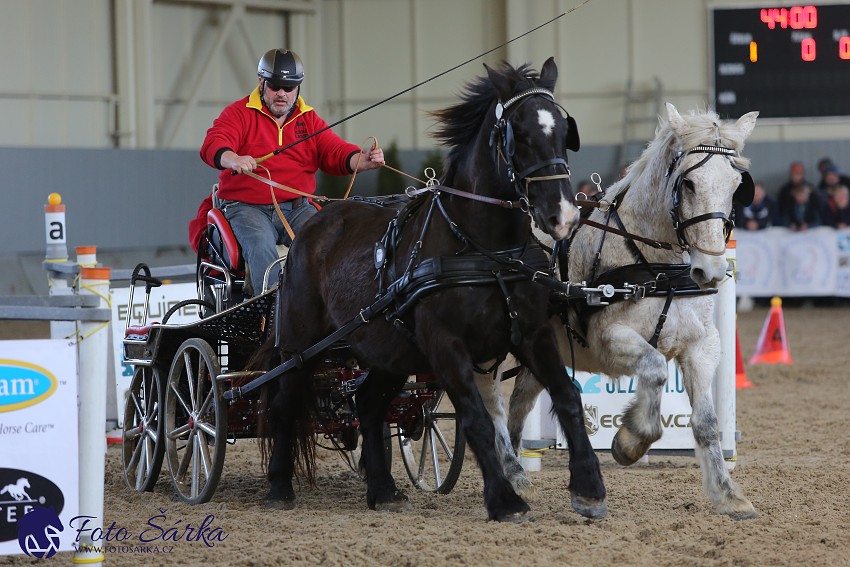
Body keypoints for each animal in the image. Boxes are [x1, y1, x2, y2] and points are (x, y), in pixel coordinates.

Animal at [264, 58, 604, 524]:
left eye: (562, 131)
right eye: (519, 133)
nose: (563, 215)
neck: (483, 248)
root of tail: (308, 230)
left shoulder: (532, 333)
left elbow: (567, 396)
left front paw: (589, 489)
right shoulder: (445, 345)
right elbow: (476, 419)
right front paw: (505, 500)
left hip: (388, 349)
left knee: (368, 403)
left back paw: (384, 490)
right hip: (300, 347)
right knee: (284, 404)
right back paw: (279, 487)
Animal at [474, 102, 760, 520]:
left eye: (737, 185)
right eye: (689, 184)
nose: (709, 270)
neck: (658, 268)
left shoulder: (702, 346)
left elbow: (706, 423)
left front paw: (728, 495)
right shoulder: (609, 339)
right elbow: (655, 370)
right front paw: (629, 441)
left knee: (520, 400)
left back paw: (517, 474)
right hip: (490, 351)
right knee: (491, 404)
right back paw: (509, 470)